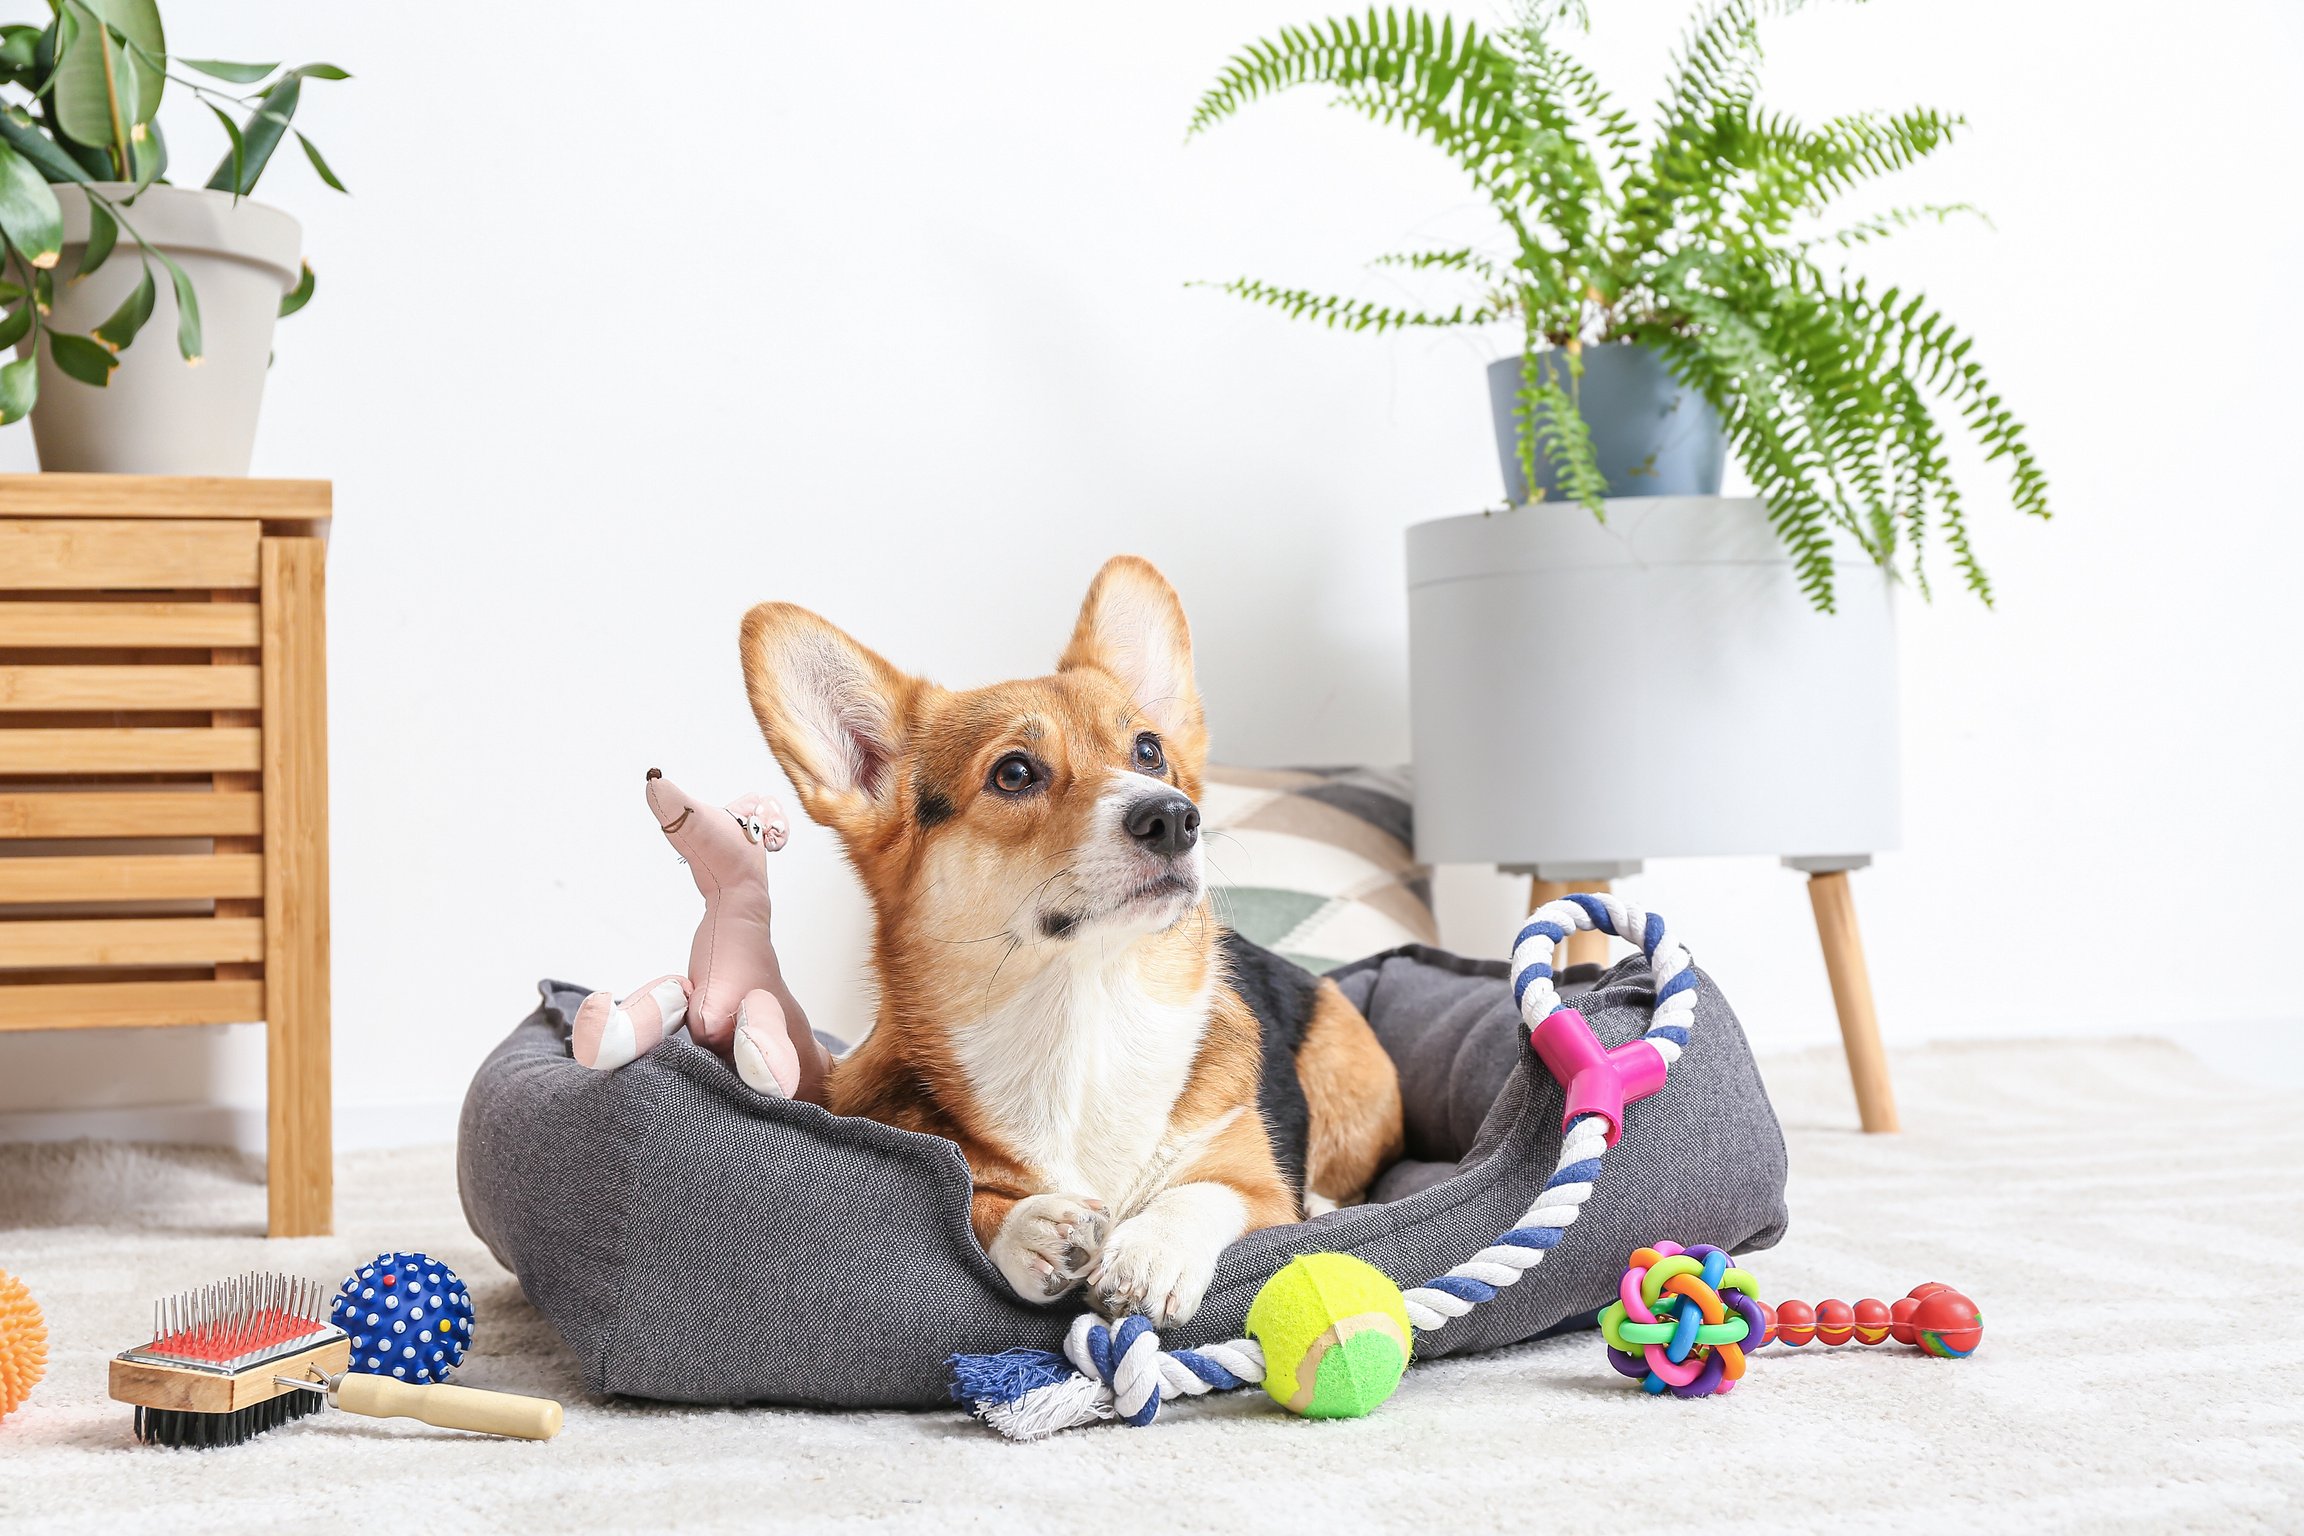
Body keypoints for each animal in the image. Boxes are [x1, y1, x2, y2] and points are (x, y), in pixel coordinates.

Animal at [737, 559, 1400, 1326]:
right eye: (1014, 773)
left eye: (1149, 751)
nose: (1175, 818)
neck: (1084, 1018)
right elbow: (972, 1197)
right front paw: (1032, 1229)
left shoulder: (1258, 1191)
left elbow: (1202, 1193)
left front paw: (1151, 1253)